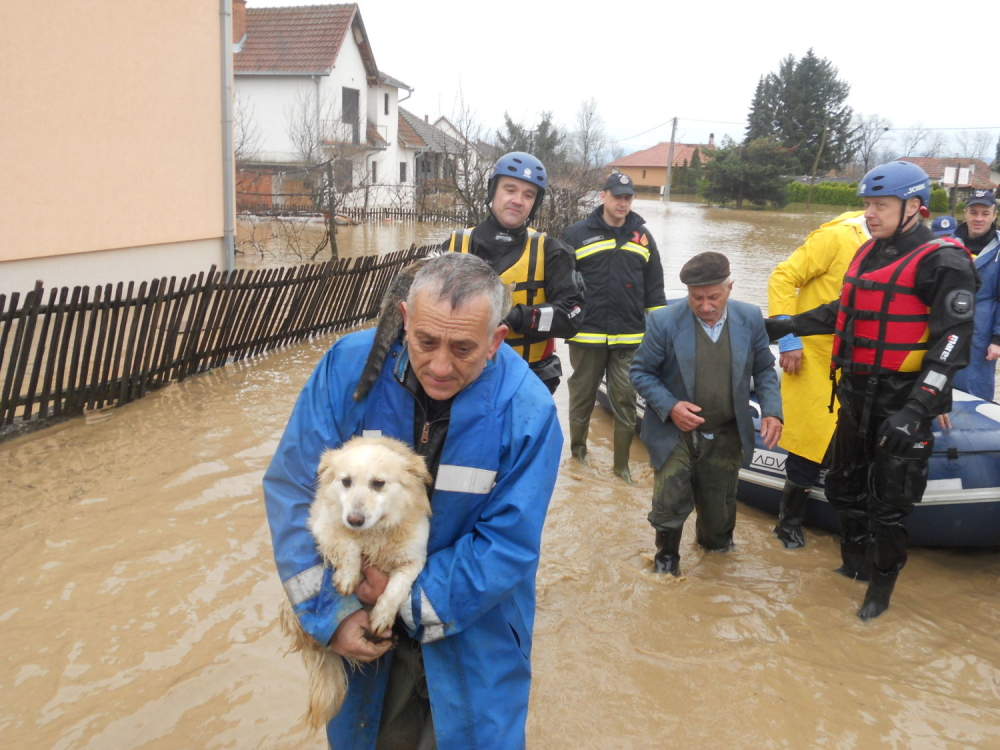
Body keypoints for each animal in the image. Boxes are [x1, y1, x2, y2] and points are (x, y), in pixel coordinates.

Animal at [278, 434, 430, 736]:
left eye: (378, 483)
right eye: (345, 481)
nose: (355, 519)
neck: (374, 533)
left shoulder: (415, 558)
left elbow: (397, 586)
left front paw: (382, 614)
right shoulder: (323, 525)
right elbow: (347, 544)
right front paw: (348, 577)